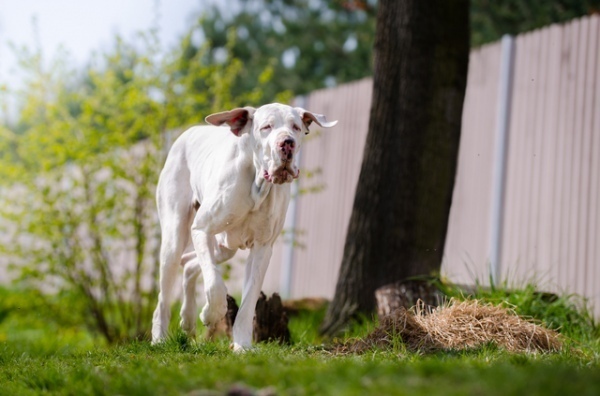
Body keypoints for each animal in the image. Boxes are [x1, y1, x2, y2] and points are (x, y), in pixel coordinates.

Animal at [151, 103, 338, 352]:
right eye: (266, 127)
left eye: (296, 127)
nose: (287, 142)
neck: (257, 185)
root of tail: (187, 133)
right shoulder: (201, 229)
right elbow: (215, 284)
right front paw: (211, 314)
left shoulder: (262, 248)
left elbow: (249, 301)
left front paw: (242, 345)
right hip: (176, 237)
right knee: (165, 293)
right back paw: (159, 337)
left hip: (224, 247)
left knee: (189, 264)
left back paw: (188, 319)